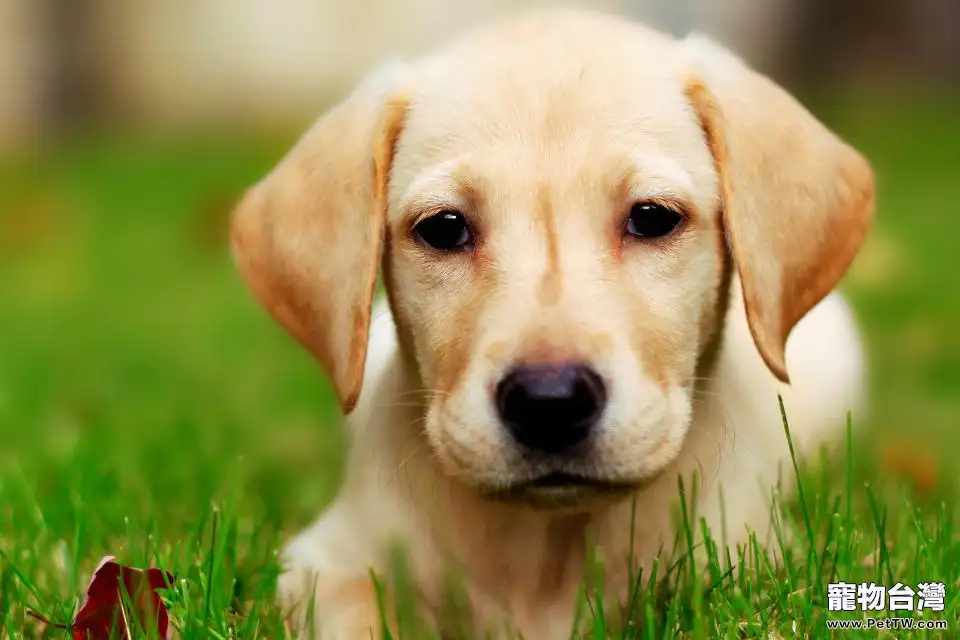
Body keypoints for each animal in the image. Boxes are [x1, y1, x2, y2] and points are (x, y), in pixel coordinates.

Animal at [229, 7, 872, 636]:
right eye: (444, 228)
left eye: (652, 218)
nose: (549, 403)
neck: (546, 550)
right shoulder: (325, 565)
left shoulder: (749, 559)